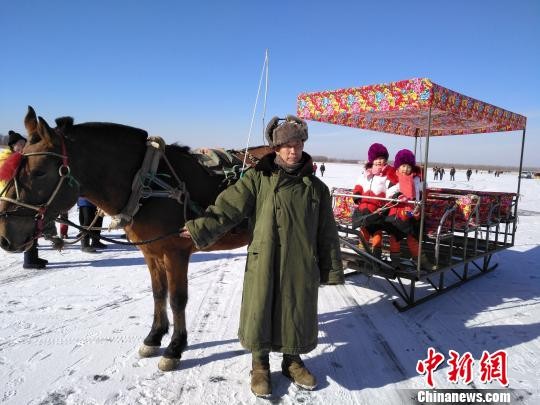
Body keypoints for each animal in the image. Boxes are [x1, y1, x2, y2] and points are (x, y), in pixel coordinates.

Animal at [0, 106, 272, 370]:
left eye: (39, 172)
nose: (5, 235)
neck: (147, 184)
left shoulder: (176, 252)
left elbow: (177, 299)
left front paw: (175, 347)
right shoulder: (151, 252)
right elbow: (158, 293)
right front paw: (154, 337)